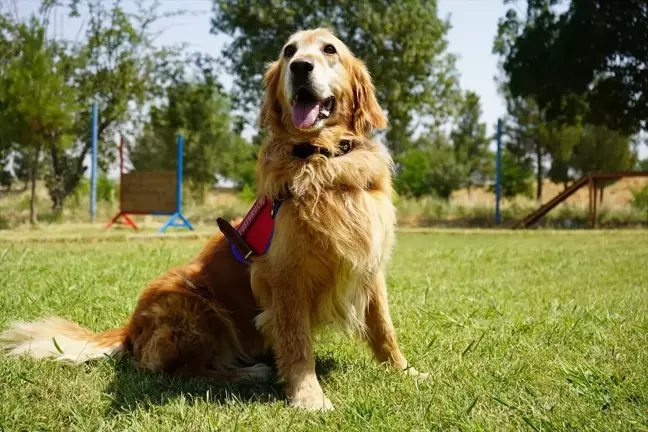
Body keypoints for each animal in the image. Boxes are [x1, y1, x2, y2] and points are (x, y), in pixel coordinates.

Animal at [1, 27, 426, 412]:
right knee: (180, 371)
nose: (301, 67)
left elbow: (384, 327)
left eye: (329, 50)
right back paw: (247, 372)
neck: (323, 159)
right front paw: (309, 396)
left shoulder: (370, 265)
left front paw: (404, 371)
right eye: (289, 51)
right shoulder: (285, 276)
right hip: (194, 303)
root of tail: (130, 326)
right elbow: (297, 344)